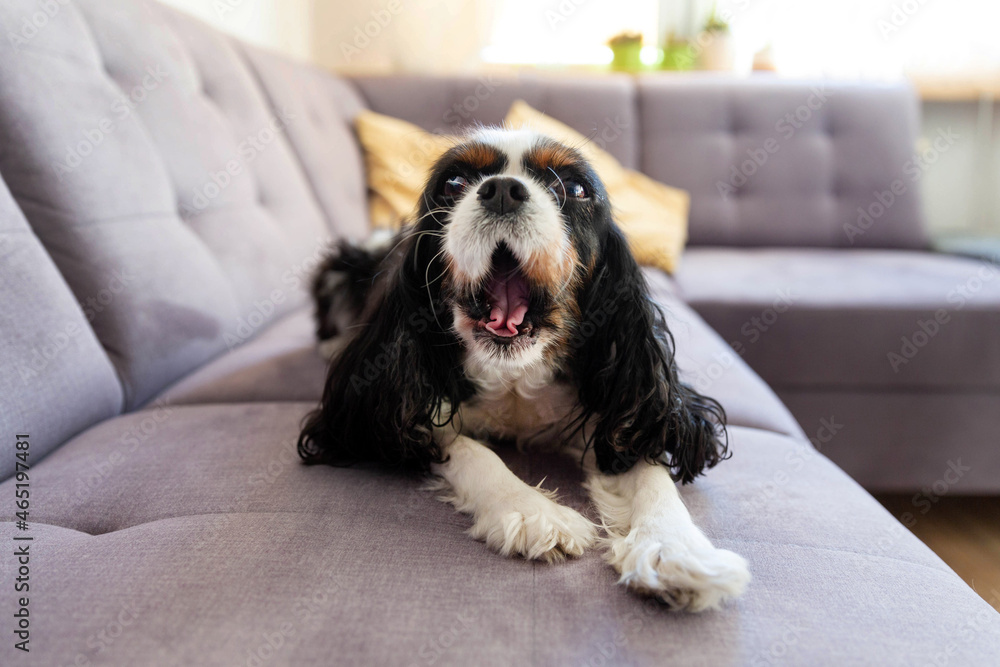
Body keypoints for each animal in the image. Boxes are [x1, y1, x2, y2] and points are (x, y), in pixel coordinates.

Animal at [296, 128, 752, 612]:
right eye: (454, 183)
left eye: (574, 189)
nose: (500, 190)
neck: (515, 375)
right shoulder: (395, 408)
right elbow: (467, 448)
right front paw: (533, 511)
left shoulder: (622, 409)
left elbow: (648, 467)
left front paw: (676, 549)